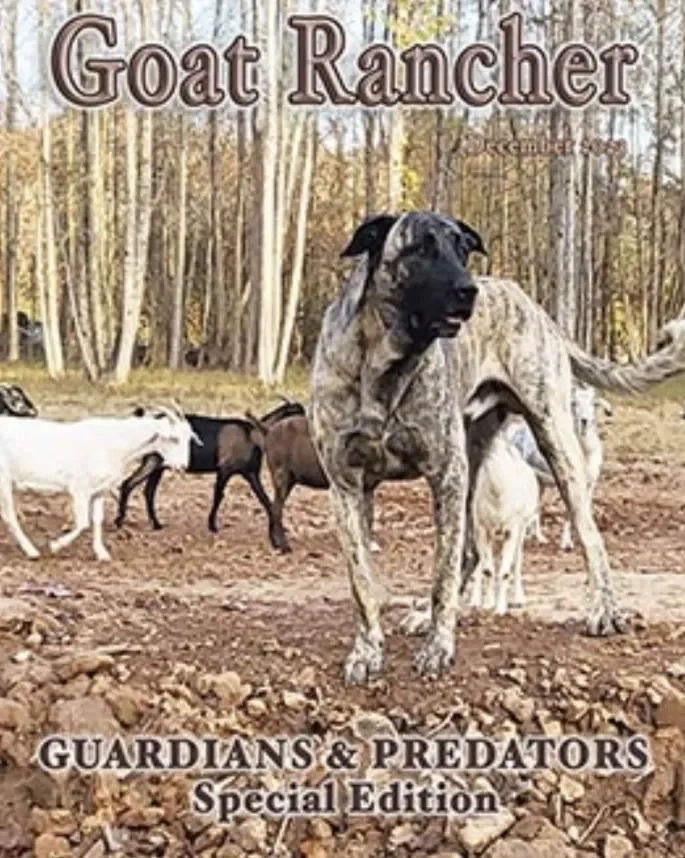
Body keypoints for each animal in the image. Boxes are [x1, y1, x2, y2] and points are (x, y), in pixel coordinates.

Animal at [0, 405, 198, 561]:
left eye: (188, 438)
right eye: (174, 438)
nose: (182, 466)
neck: (114, 444)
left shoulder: (98, 491)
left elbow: (96, 520)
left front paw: (102, 554)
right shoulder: (80, 489)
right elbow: (83, 523)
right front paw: (56, 545)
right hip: (4, 481)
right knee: (9, 516)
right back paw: (31, 551)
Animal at [114, 398, 304, 549]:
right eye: (299, 414)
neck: (252, 435)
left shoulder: (251, 474)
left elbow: (266, 501)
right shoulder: (225, 469)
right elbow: (218, 495)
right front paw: (212, 526)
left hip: (156, 464)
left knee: (141, 489)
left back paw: (152, 524)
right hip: (154, 461)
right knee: (135, 486)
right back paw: (122, 521)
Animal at [468, 433, 540, 615]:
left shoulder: (512, 530)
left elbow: (506, 571)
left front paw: (500, 610)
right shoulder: (481, 528)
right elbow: (487, 569)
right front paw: (487, 605)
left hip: (520, 529)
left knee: (517, 560)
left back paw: (519, 599)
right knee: (480, 563)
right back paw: (474, 601)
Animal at [505, 383, 612, 550]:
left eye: (593, 404)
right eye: (574, 403)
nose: (584, 421)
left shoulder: (589, 485)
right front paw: (566, 543)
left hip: (539, 484)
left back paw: (536, 537)